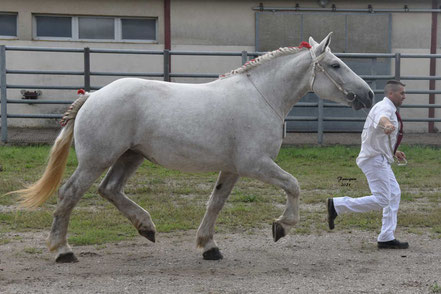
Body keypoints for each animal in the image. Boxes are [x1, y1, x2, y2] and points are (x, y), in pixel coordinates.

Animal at [11, 34, 372, 262]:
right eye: (336, 65)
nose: (367, 95)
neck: (261, 96)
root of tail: (92, 96)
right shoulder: (255, 164)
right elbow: (293, 186)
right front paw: (281, 226)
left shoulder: (232, 169)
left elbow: (215, 203)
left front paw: (208, 246)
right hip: (97, 159)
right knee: (70, 194)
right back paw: (62, 250)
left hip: (130, 156)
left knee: (109, 190)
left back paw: (146, 227)